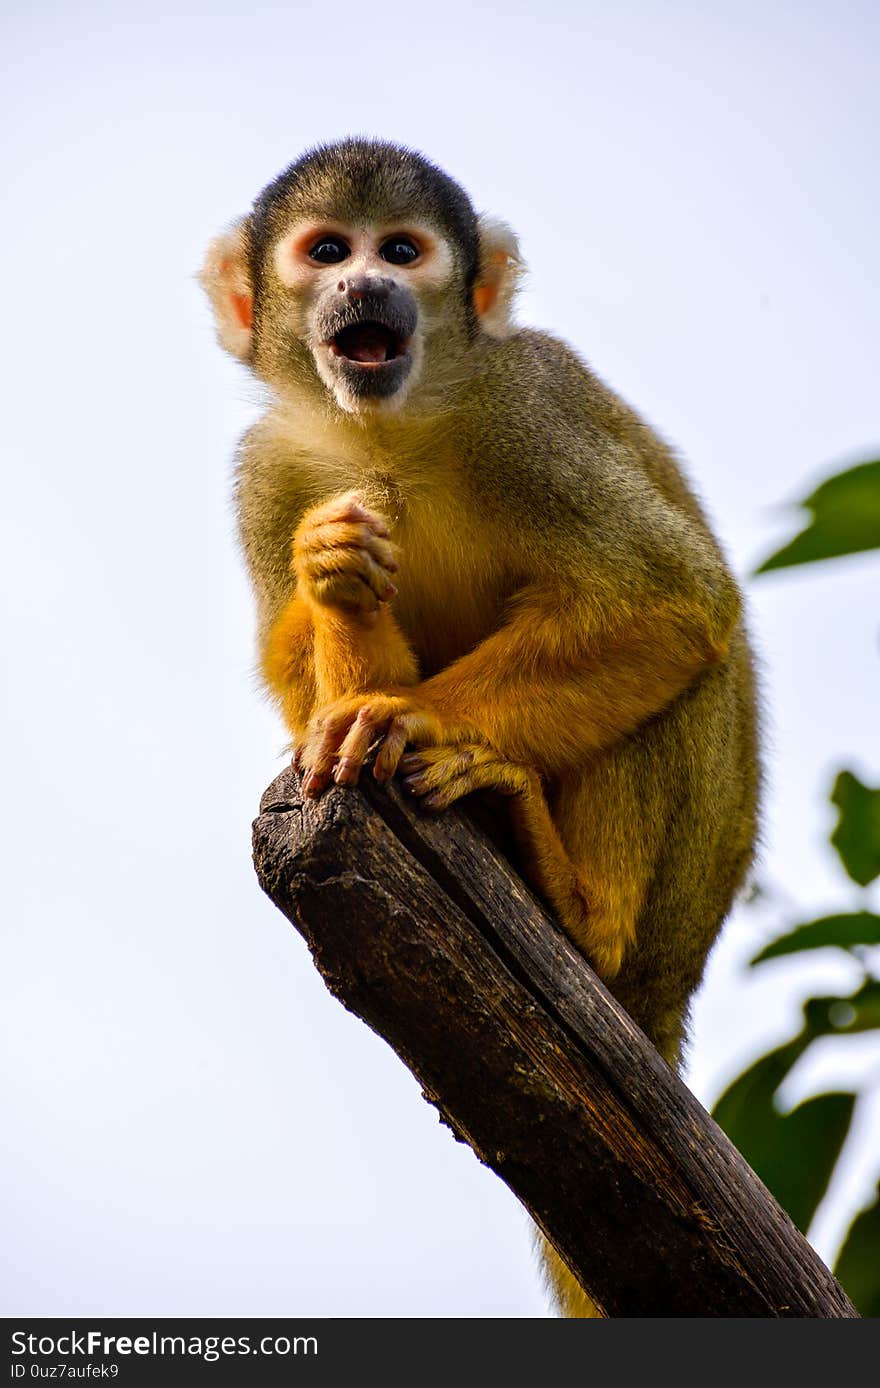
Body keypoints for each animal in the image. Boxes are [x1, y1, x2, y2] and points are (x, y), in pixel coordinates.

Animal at [198, 135, 755, 1315]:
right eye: (330, 253)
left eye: (403, 251)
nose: (369, 286)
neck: (392, 423)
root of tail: (667, 995)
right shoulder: (264, 472)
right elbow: (306, 704)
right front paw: (335, 582)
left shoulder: (530, 410)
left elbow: (671, 602)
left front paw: (405, 718)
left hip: (684, 896)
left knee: (691, 666)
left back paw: (576, 908)